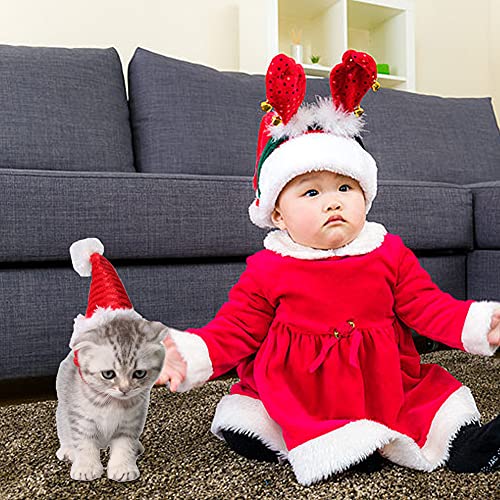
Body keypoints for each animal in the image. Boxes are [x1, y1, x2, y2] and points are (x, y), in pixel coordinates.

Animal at [56, 316, 167, 480]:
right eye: (108, 374)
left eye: (139, 373)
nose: (125, 389)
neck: (110, 401)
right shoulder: (82, 420)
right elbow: (84, 443)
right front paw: (86, 467)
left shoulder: (130, 422)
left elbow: (124, 445)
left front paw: (122, 467)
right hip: (62, 411)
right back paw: (68, 450)